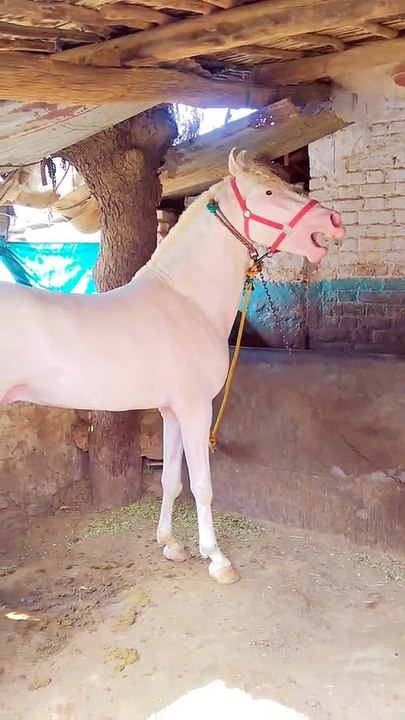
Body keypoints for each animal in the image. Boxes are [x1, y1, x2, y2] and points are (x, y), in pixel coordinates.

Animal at [0, 149, 345, 584]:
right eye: (268, 191)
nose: (333, 220)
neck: (187, 301)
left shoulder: (171, 410)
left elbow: (170, 479)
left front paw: (171, 544)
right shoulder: (195, 408)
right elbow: (201, 485)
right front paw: (216, 559)